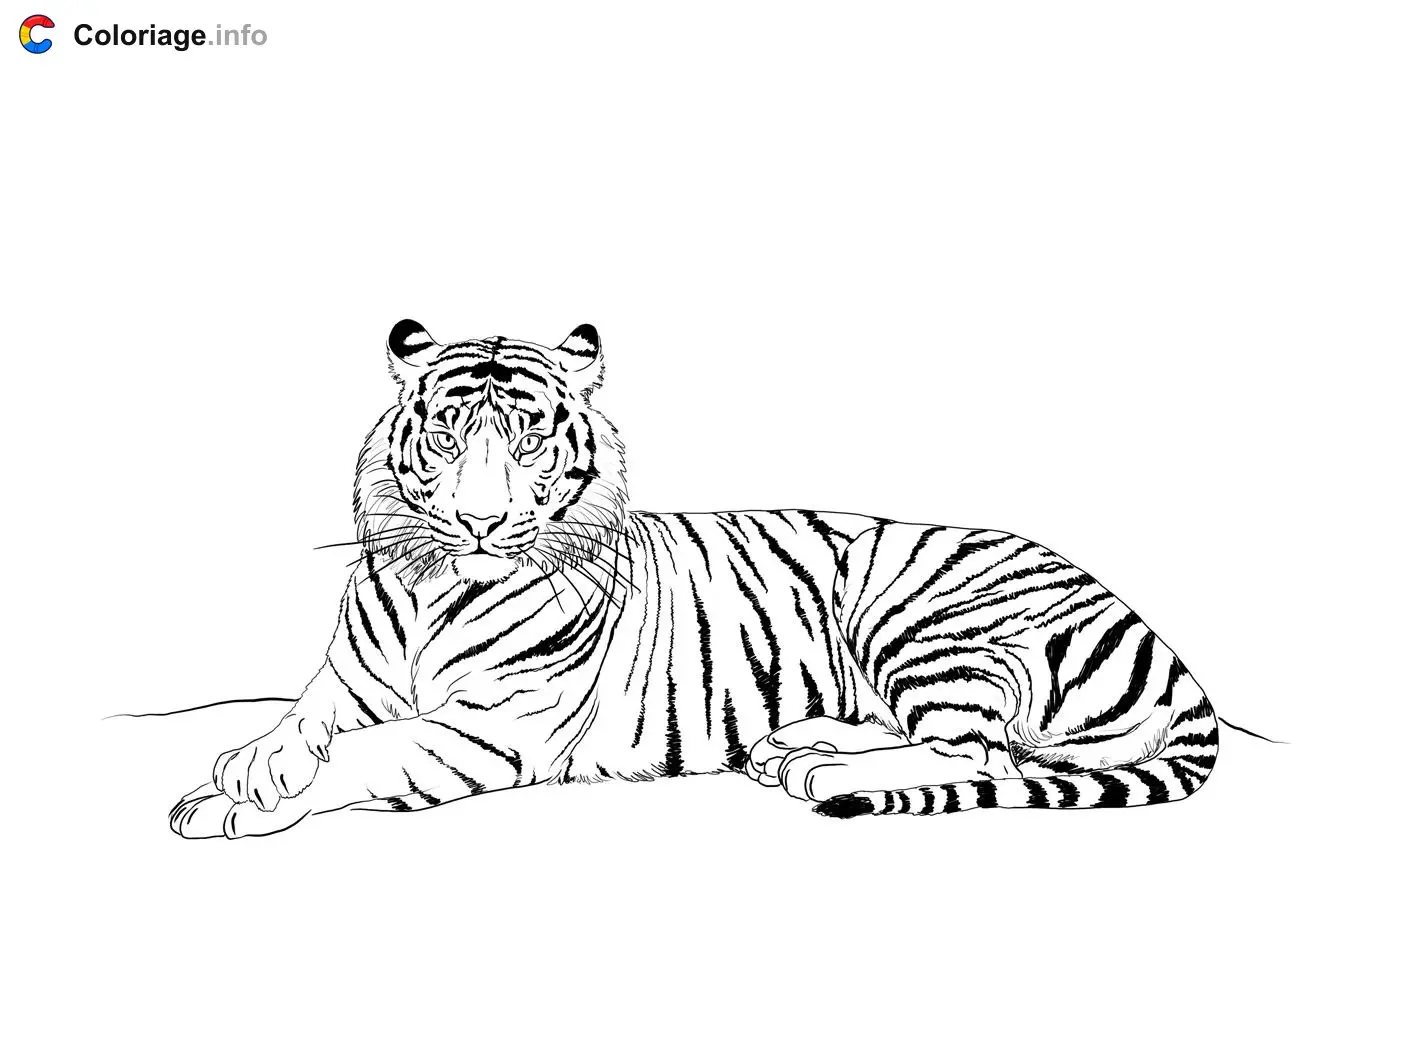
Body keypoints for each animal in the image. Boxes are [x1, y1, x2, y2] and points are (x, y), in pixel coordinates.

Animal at [169, 319, 1220, 839]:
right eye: (447, 436)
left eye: (528, 441)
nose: (480, 521)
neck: (434, 588)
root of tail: (1164, 646)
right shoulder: (344, 684)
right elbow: (304, 721)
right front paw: (246, 764)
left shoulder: (488, 730)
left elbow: (362, 755)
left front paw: (241, 802)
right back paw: (796, 746)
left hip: (926, 621)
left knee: (980, 757)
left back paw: (820, 769)